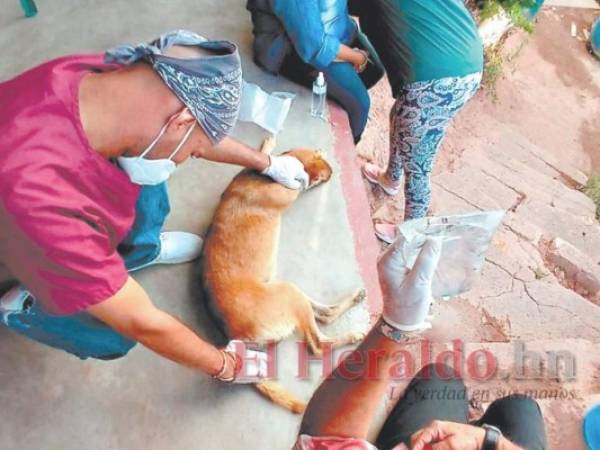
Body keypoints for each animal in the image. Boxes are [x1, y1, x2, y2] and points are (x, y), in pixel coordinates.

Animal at [203, 138, 366, 414]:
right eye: (324, 176)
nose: (332, 173)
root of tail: (234, 336)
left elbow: (264, 156)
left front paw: (268, 148)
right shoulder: (290, 192)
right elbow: (297, 185)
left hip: (287, 291)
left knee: (326, 314)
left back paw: (354, 300)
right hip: (287, 293)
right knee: (319, 344)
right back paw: (354, 334)